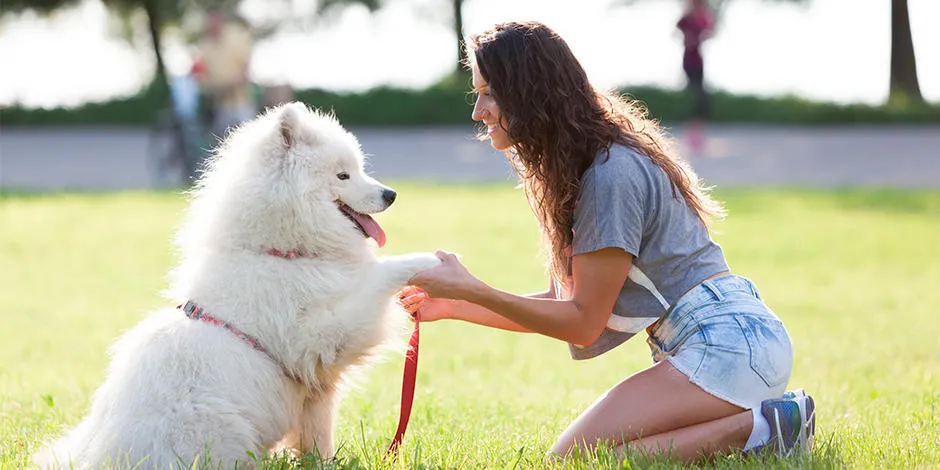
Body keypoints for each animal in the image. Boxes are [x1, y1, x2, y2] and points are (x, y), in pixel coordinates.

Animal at [36, 103, 444, 470]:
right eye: (343, 176)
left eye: (359, 170)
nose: (391, 194)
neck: (279, 252)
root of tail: (101, 456)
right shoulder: (318, 336)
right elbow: (376, 279)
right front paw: (425, 261)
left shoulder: (314, 388)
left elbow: (318, 438)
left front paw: (323, 463)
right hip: (222, 429)